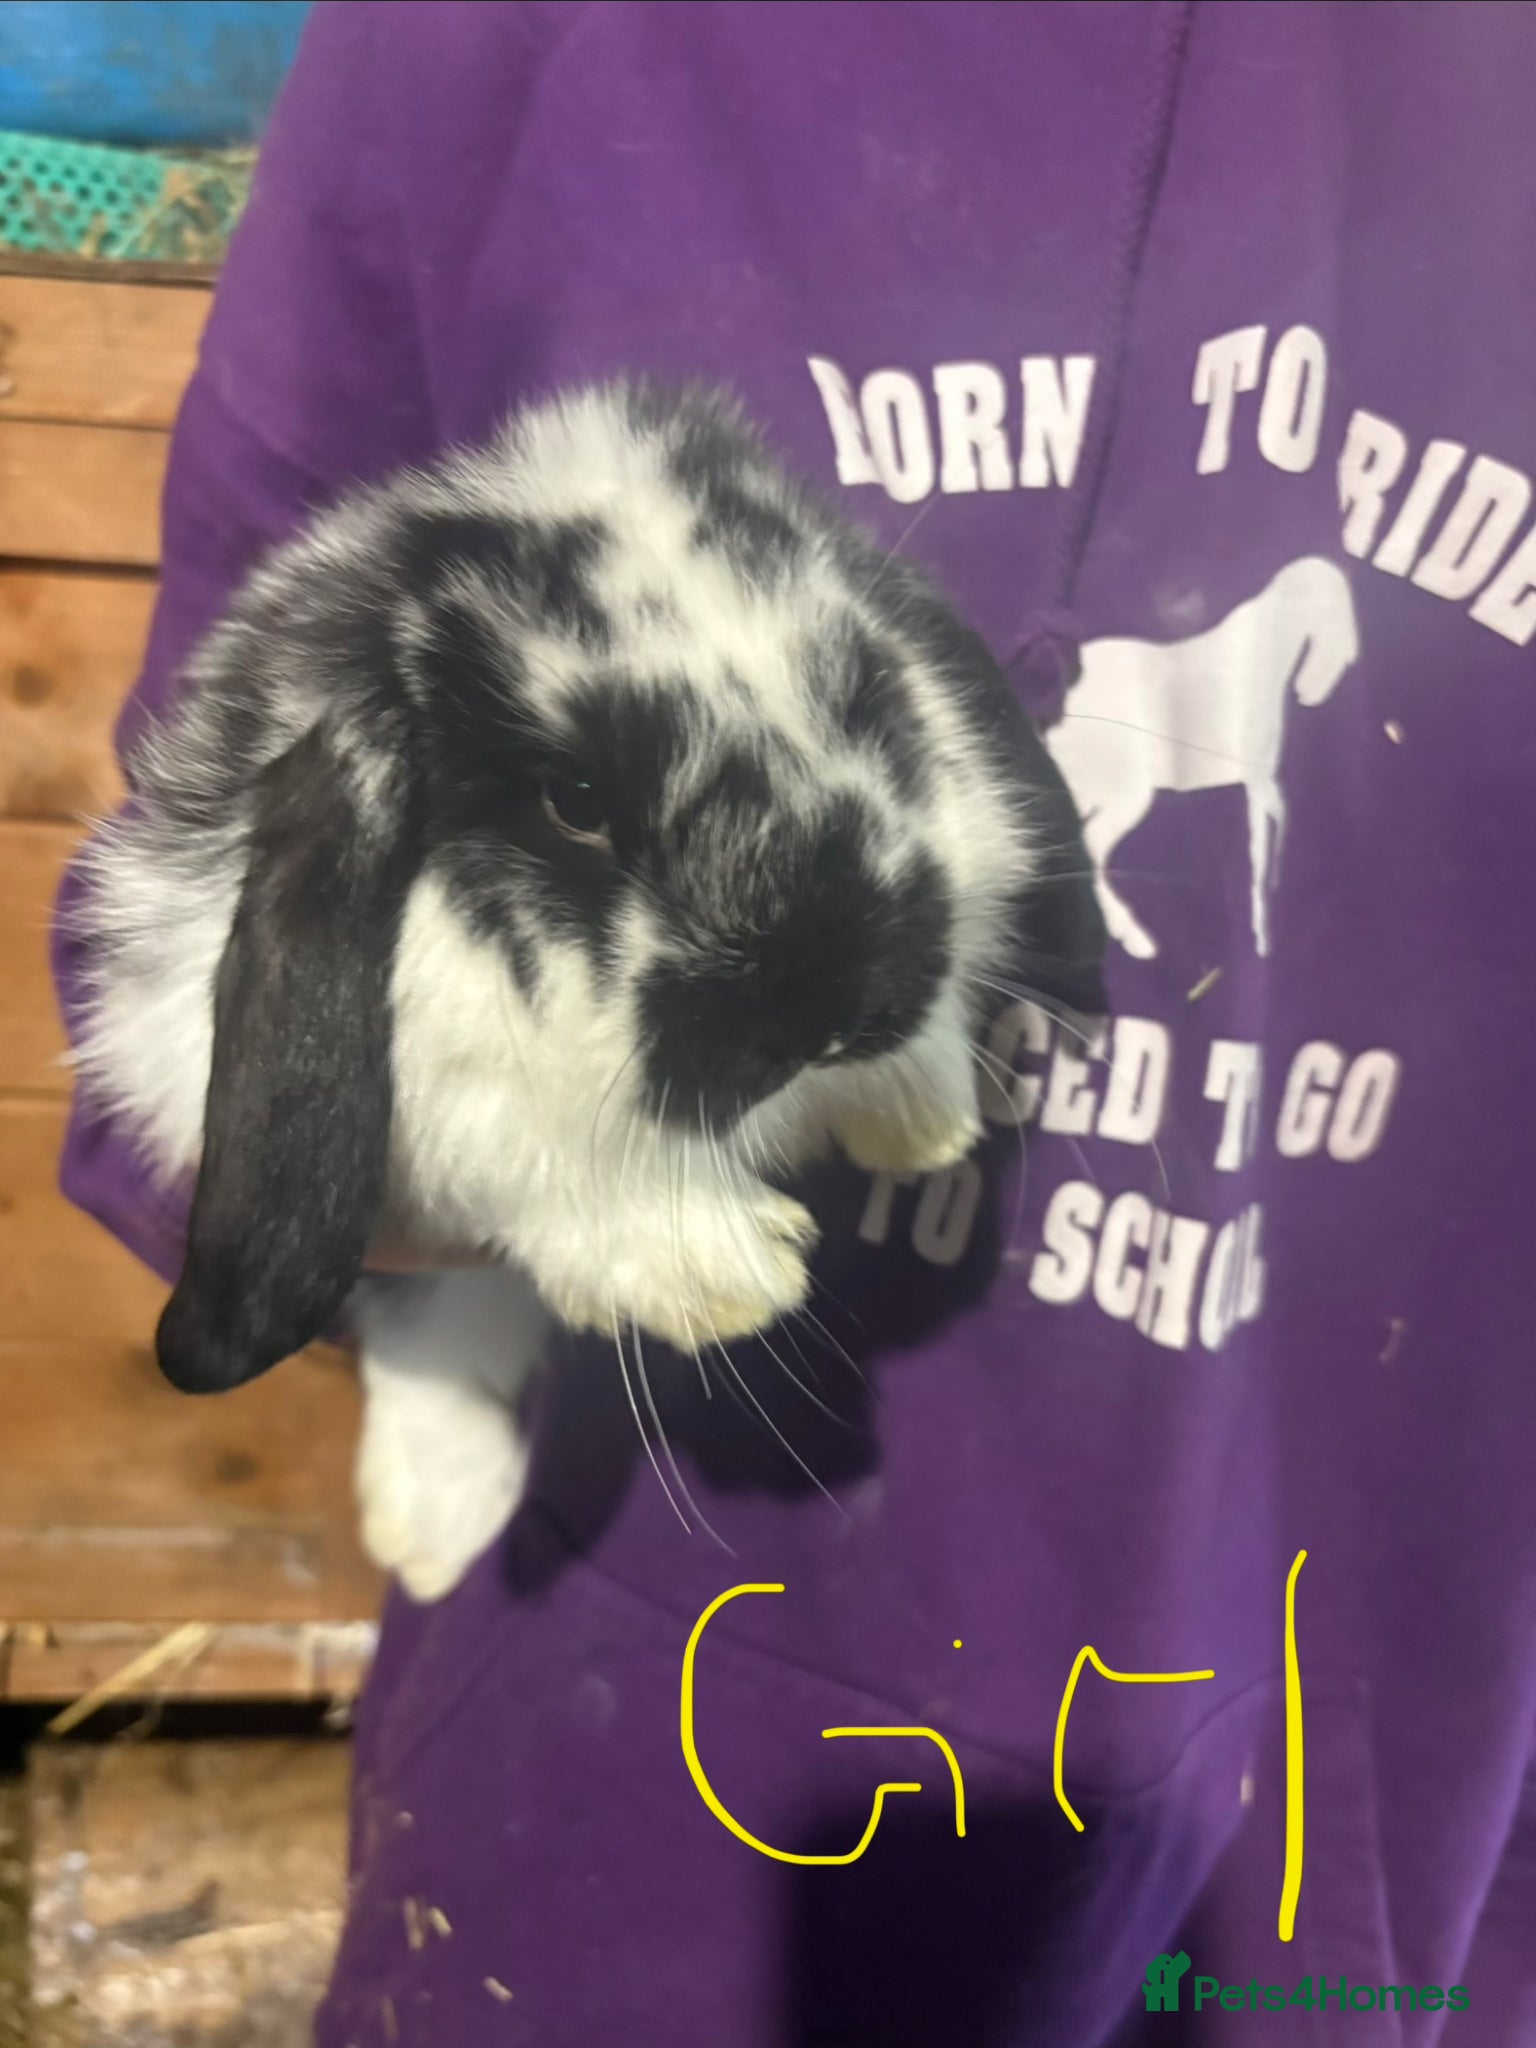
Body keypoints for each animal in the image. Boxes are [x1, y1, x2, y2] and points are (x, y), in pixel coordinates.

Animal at [67, 379, 1105, 1598]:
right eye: (575, 801)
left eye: (868, 698)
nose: (837, 1005)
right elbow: (516, 1145)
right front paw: (721, 1267)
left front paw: (919, 1115)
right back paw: (435, 1533)